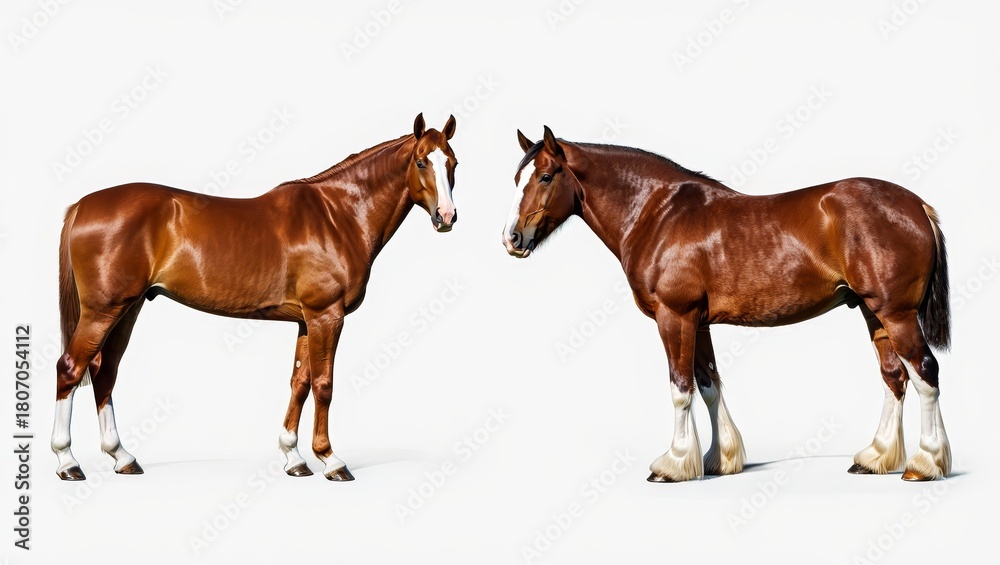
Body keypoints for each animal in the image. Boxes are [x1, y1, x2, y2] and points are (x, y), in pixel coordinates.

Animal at [53, 113, 459, 482]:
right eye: (422, 162)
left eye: (453, 163)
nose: (447, 216)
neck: (337, 216)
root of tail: (81, 206)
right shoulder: (326, 315)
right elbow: (324, 385)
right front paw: (330, 460)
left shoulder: (306, 320)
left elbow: (300, 383)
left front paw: (294, 458)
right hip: (103, 310)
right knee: (70, 368)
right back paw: (67, 462)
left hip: (128, 308)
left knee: (104, 372)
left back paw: (122, 457)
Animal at [502, 126, 951, 482]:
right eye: (517, 177)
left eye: (545, 176)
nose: (512, 238)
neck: (657, 214)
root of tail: (917, 205)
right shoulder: (698, 322)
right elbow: (708, 385)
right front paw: (719, 460)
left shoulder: (674, 316)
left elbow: (680, 388)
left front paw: (672, 465)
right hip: (873, 312)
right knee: (894, 377)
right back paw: (875, 458)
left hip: (896, 314)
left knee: (925, 372)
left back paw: (924, 464)